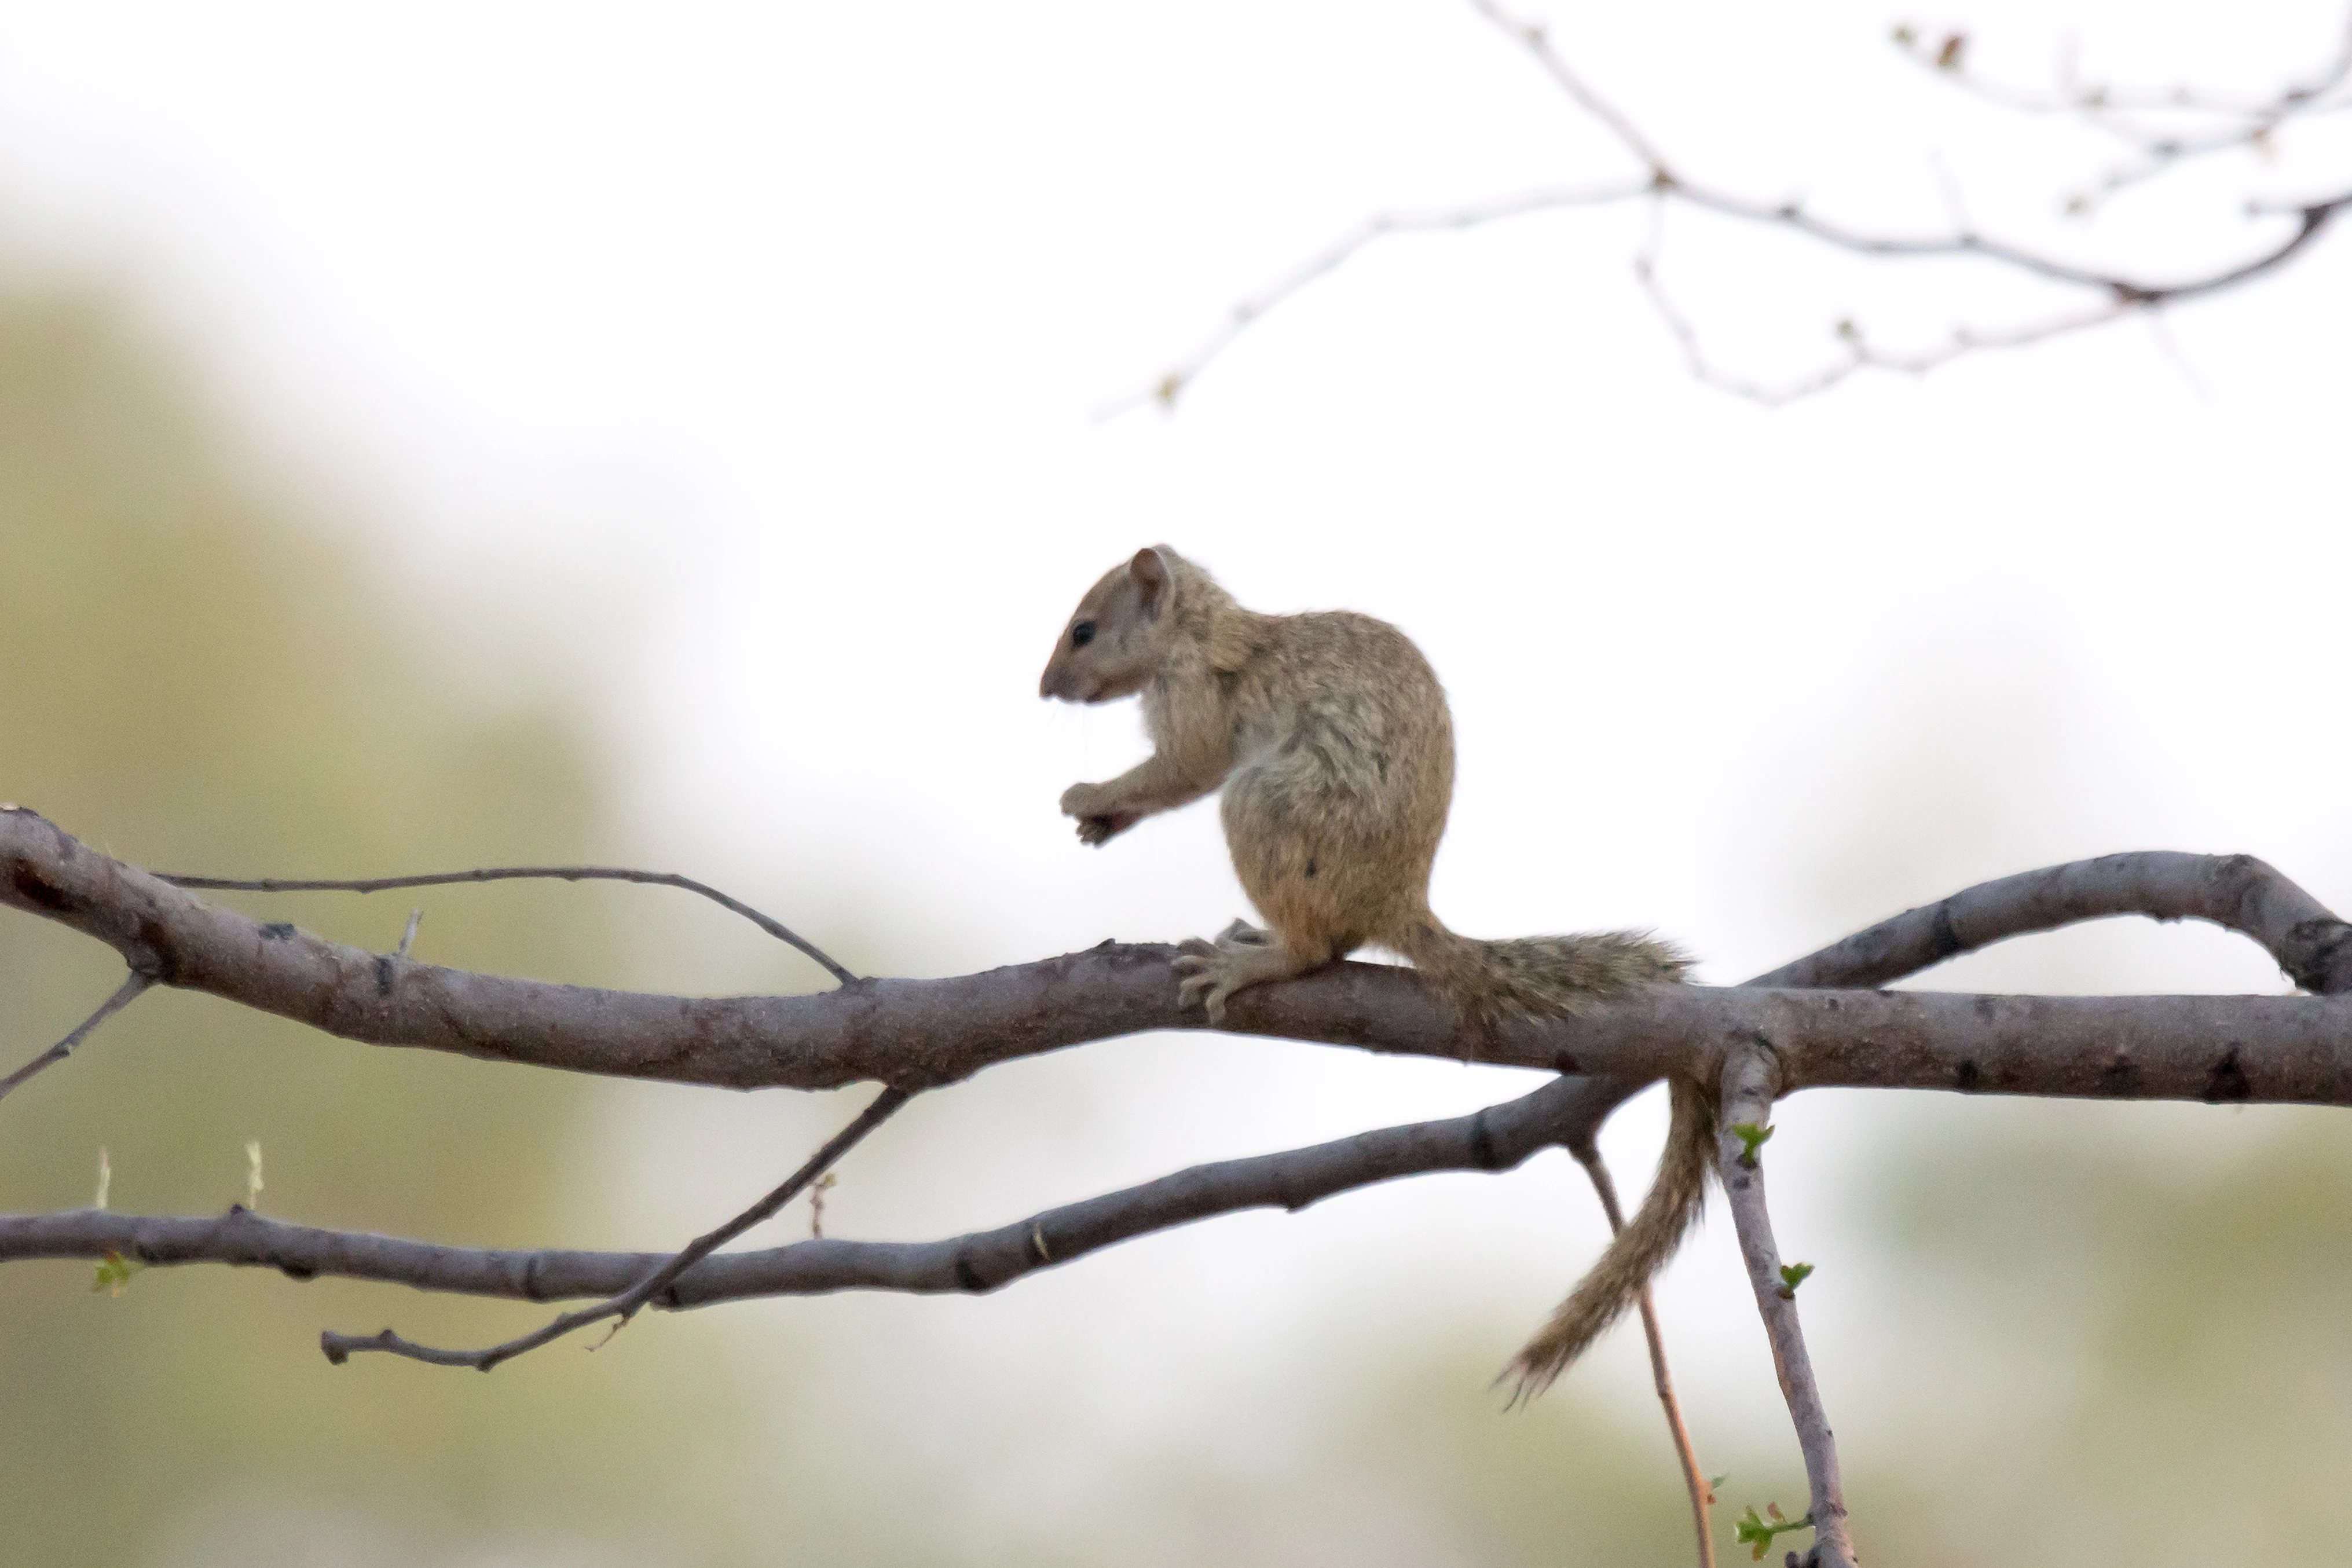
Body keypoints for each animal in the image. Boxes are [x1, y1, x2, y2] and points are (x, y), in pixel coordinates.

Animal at [1039, 544, 1707, 1397]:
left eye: (1084, 631)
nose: (1044, 687)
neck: (1198, 629)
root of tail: (1398, 900)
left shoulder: (1195, 704)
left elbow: (1182, 770)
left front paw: (1088, 795)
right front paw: (1101, 819)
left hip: (1261, 805)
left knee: (1312, 949)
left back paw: (1247, 962)